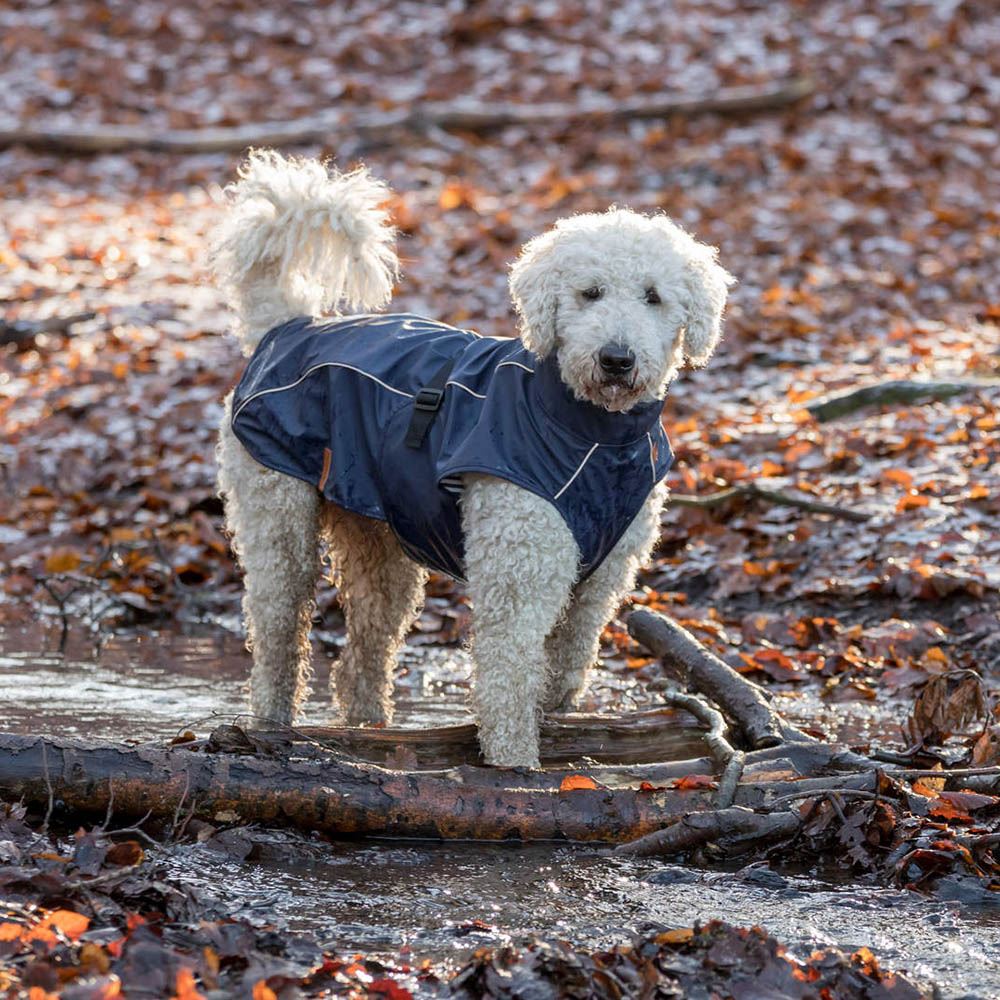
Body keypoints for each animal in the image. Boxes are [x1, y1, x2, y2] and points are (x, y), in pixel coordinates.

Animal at [213, 152, 728, 768]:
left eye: (653, 296)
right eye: (591, 293)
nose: (617, 359)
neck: (591, 434)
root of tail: (287, 326)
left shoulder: (597, 588)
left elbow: (563, 672)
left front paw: (563, 737)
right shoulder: (519, 574)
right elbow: (508, 681)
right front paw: (516, 769)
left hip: (379, 543)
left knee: (362, 657)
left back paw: (368, 734)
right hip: (277, 517)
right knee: (277, 639)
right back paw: (270, 730)